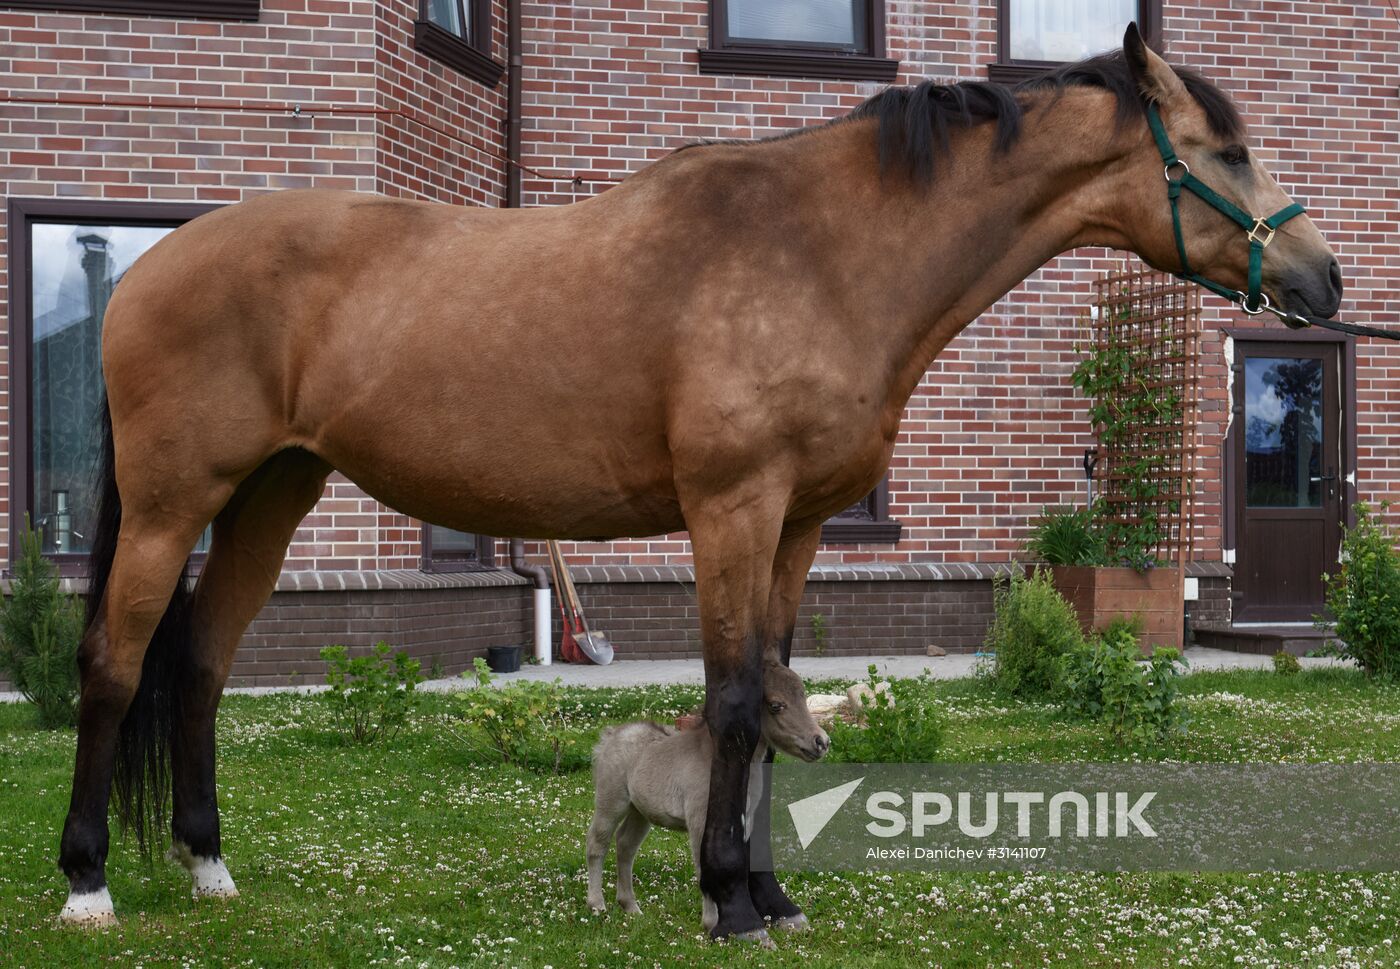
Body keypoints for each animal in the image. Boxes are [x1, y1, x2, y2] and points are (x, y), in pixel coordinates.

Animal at [57, 24, 1342, 942]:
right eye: (1227, 151)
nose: (1321, 279)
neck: (820, 253)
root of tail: (151, 267)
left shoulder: (800, 525)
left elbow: (770, 691)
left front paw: (768, 895)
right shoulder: (731, 508)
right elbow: (728, 700)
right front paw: (726, 899)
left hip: (271, 494)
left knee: (202, 666)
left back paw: (209, 866)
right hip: (174, 501)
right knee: (117, 663)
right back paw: (87, 884)